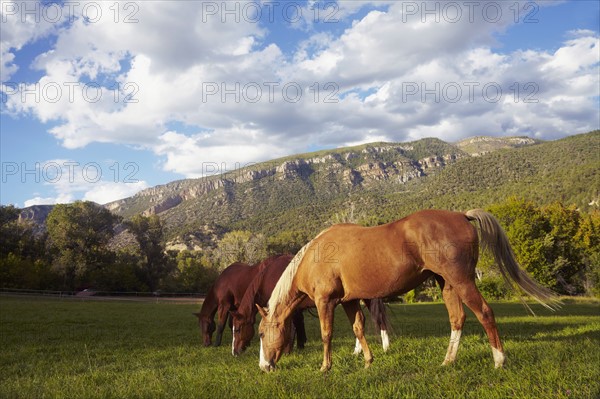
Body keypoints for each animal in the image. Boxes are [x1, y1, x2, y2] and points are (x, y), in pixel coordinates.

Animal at [229, 255, 390, 358]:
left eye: (237, 329)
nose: (235, 352)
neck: (268, 278)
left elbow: (291, 328)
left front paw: (287, 350)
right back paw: (358, 351)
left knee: (379, 319)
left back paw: (386, 347)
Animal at [256, 211, 556, 374]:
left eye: (260, 333)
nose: (264, 366)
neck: (313, 257)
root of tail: (461, 215)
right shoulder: (348, 301)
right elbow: (358, 329)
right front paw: (368, 361)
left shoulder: (325, 302)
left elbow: (327, 334)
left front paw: (325, 367)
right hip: (446, 284)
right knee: (457, 319)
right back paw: (448, 361)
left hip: (462, 281)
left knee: (484, 313)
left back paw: (499, 360)